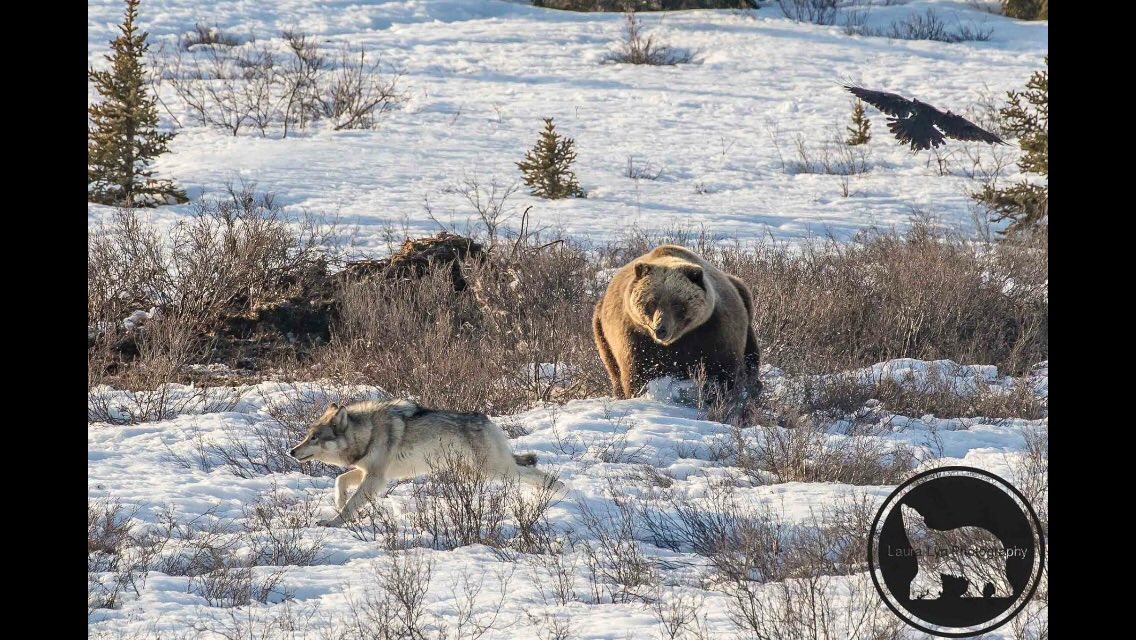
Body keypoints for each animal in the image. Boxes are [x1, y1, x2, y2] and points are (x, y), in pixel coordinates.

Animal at [592, 245, 761, 399]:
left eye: (677, 304)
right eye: (651, 303)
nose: (660, 329)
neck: (677, 340)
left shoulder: (714, 331)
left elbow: (723, 369)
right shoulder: (634, 336)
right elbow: (638, 371)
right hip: (601, 331)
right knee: (613, 369)